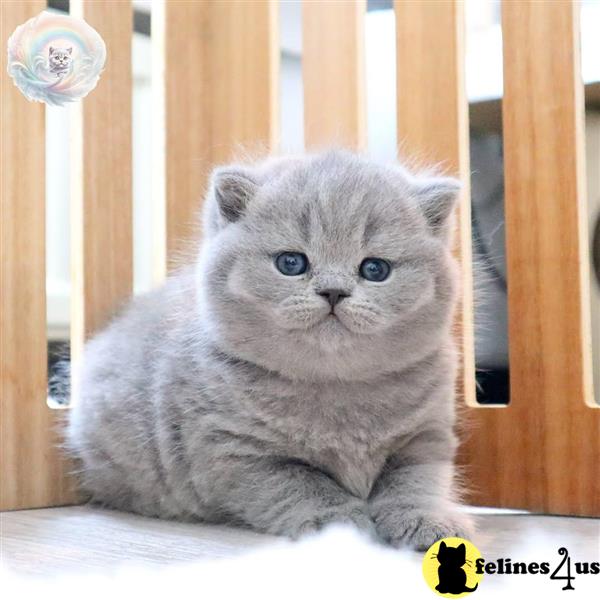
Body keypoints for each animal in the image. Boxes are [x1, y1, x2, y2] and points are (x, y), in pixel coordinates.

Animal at [68, 150, 474, 548]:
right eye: (291, 263)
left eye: (375, 269)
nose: (333, 291)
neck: (337, 391)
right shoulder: (235, 452)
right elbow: (304, 486)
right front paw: (339, 526)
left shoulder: (427, 435)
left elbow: (417, 481)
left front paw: (428, 520)